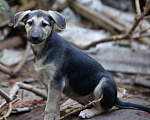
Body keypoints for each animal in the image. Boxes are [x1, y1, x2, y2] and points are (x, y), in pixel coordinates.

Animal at [13, 9, 149, 120]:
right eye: (30, 23)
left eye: (44, 24)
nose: (34, 37)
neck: (45, 49)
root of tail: (115, 97)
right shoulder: (49, 85)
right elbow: (55, 106)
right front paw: (57, 117)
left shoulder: (56, 82)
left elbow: (49, 108)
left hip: (104, 83)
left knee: (104, 108)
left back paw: (88, 112)